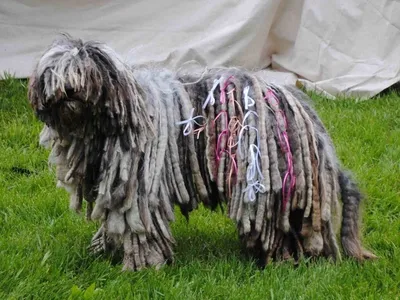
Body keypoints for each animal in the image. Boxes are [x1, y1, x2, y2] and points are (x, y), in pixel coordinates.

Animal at [28, 34, 376, 270]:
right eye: (56, 75)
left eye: (83, 73)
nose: (69, 92)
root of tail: (302, 108)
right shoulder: (112, 186)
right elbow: (113, 220)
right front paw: (104, 247)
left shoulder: (140, 187)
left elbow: (139, 225)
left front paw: (144, 263)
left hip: (269, 177)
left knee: (279, 224)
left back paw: (278, 257)